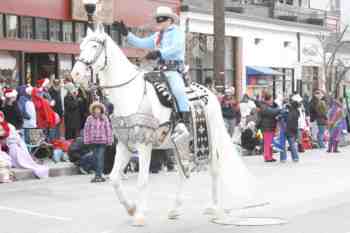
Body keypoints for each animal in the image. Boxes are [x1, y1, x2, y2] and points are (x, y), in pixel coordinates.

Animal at [72, 23, 258, 226]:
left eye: (94, 46)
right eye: (81, 46)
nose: (75, 74)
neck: (130, 94)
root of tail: (211, 95)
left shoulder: (144, 146)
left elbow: (142, 180)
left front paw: (139, 215)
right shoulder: (124, 145)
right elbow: (114, 178)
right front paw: (131, 208)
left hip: (210, 142)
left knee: (214, 170)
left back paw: (215, 209)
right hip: (180, 144)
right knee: (183, 172)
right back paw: (175, 209)